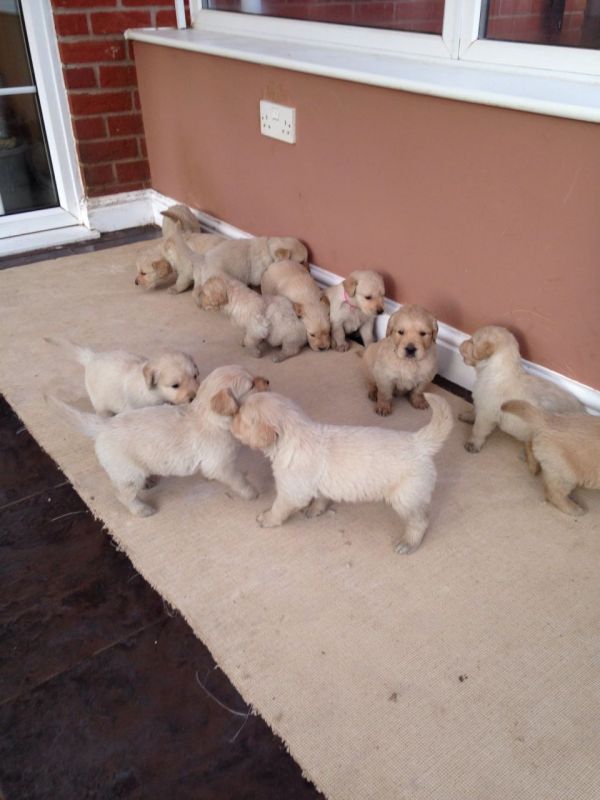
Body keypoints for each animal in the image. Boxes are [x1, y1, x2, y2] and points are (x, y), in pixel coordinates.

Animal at [45, 336, 199, 416]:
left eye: (195, 376)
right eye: (175, 386)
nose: (194, 397)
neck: (153, 393)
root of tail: (91, 357)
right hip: (100, 403)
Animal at [49, 366, 270, 516]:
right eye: (251, 385)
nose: (267, 381)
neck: (209, 416)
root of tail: (104, 425)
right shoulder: (221, 464)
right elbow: (238, 479)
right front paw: (251, 492)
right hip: (129, 474)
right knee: (123, 495)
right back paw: (142, 510)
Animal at [227, 390, 452, 552]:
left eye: (240, 416)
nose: (230, 418)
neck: (293, 435)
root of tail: (419, 442)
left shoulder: (291, 492)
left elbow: (279, 508)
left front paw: (267, 519)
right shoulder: (319, 484)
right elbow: (321, 497)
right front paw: (316, 509)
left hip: (406, 497)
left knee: (420, 521)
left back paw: (409, 543)